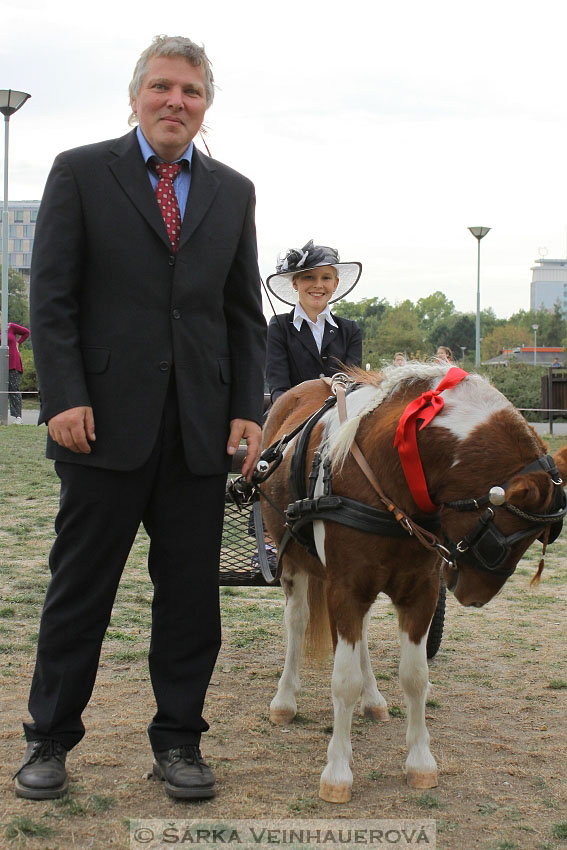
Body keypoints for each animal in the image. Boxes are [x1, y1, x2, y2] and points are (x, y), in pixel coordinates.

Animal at [262, 360, 567, 800]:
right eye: (505, 540)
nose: (474, 596)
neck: (391, 475)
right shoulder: (345, 588)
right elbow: (344, 680)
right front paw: (337, 770)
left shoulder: (419, 591)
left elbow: (415, 677)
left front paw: (420, 761)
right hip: (295, 565)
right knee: (298, 622)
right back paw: (285, 700)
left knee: (360, 637)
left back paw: (373, 699)